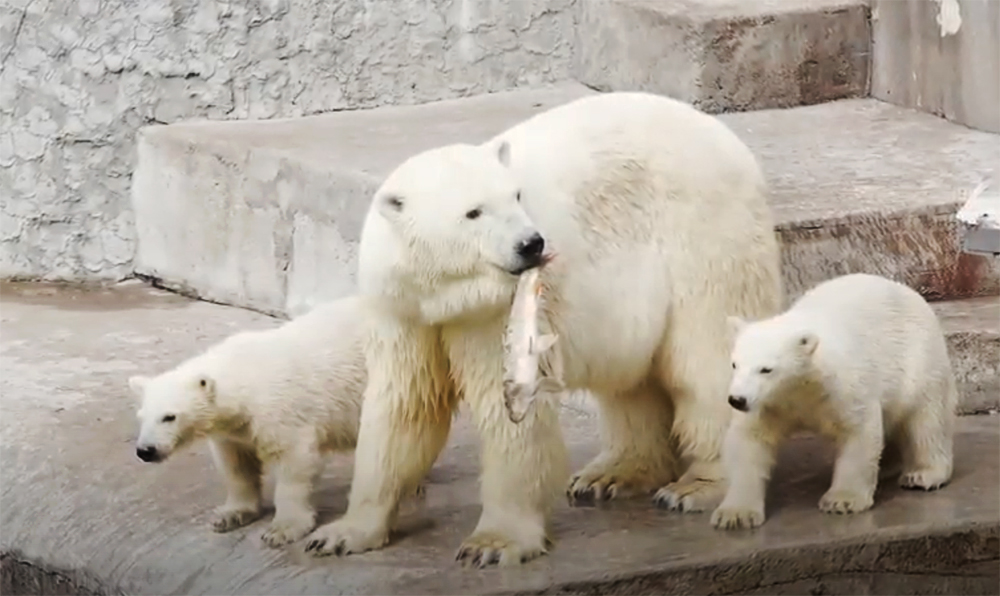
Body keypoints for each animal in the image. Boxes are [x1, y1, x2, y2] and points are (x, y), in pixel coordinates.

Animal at [302, 92, 780, 564]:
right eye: (473, 212)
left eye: (515, 196)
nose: (531, 244)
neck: (443, 294)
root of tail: (726, 139)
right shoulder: (400, 310)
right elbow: (404, 402)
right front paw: (341, 533)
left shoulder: (498, 310)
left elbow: (508, 407)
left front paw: (494, 543)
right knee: (631, 380)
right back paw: (611, 474)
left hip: (703, 239)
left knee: (704, 357)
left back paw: (698, 485)